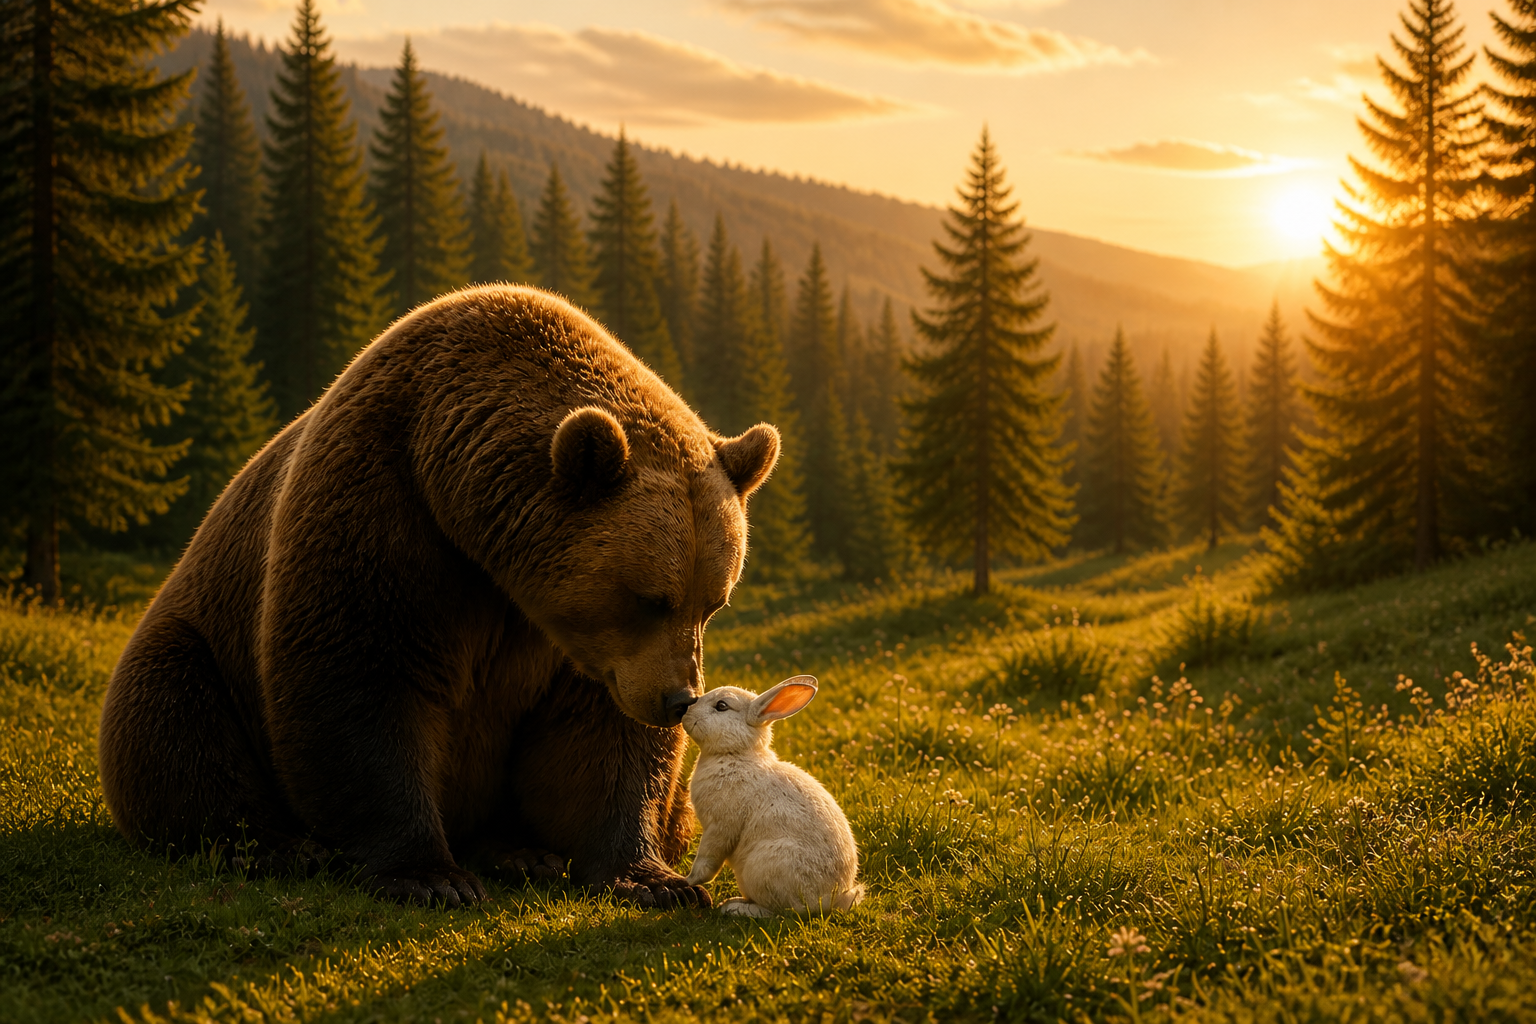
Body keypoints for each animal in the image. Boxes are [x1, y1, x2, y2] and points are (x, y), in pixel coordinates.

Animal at [96, 285, 780, 908]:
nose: (675, 699)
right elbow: (359, 679)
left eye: (712, 602)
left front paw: (652, 879)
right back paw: (277, 845)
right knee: (175, 719)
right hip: (200, 640)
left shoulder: (571, 645)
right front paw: (428, 875)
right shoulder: (385, 514)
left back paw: (519, 852)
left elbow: (599, 740)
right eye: (648, 597)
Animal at [681, 675, 865, 917]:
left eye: (722, 706)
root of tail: (828, 900)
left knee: (780, 911)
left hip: (763, 868)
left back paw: (733, 908)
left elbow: (708, 857)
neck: (735, 754)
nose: (685, 712)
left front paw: (689, 880)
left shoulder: (720, 826)